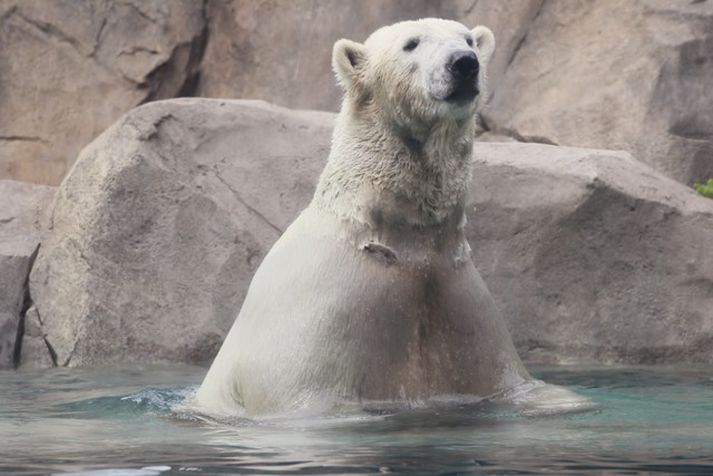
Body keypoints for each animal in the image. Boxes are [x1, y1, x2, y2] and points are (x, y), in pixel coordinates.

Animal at [193, 20, 572, 418]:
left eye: (468, 39)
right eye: (411, 44)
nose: (464, 63)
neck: (394, 235)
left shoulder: (464, 309)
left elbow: (514, 384)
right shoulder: (320, 325)